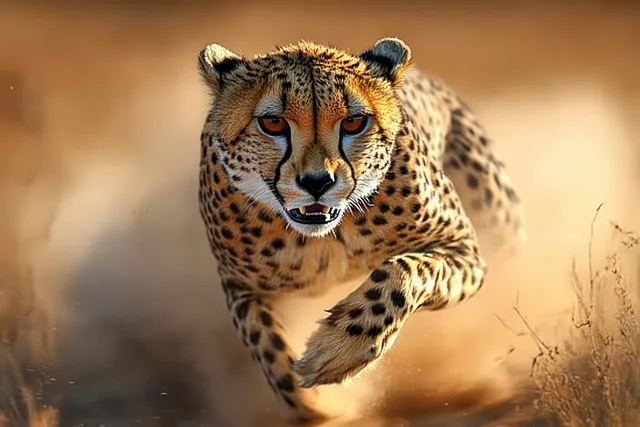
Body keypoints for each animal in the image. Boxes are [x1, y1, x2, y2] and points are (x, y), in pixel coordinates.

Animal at [196, 38, 525, 424]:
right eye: (273, 123)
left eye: (353, 122)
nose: (317, 182)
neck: (326, 235)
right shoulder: (240, 283)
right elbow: (266, 344)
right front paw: (313, 402)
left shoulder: (464, 247)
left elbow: (404, 272)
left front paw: (338, 350)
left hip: (500, 231)